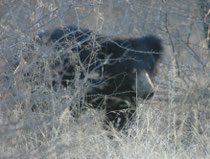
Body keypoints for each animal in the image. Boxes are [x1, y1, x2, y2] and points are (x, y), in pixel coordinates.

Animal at [34, 25, 163, 130]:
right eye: (131, 70)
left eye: (150, 68)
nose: (148, 92)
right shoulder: (83, 86)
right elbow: (77, 109)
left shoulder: (122, 100)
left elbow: (121, 118)